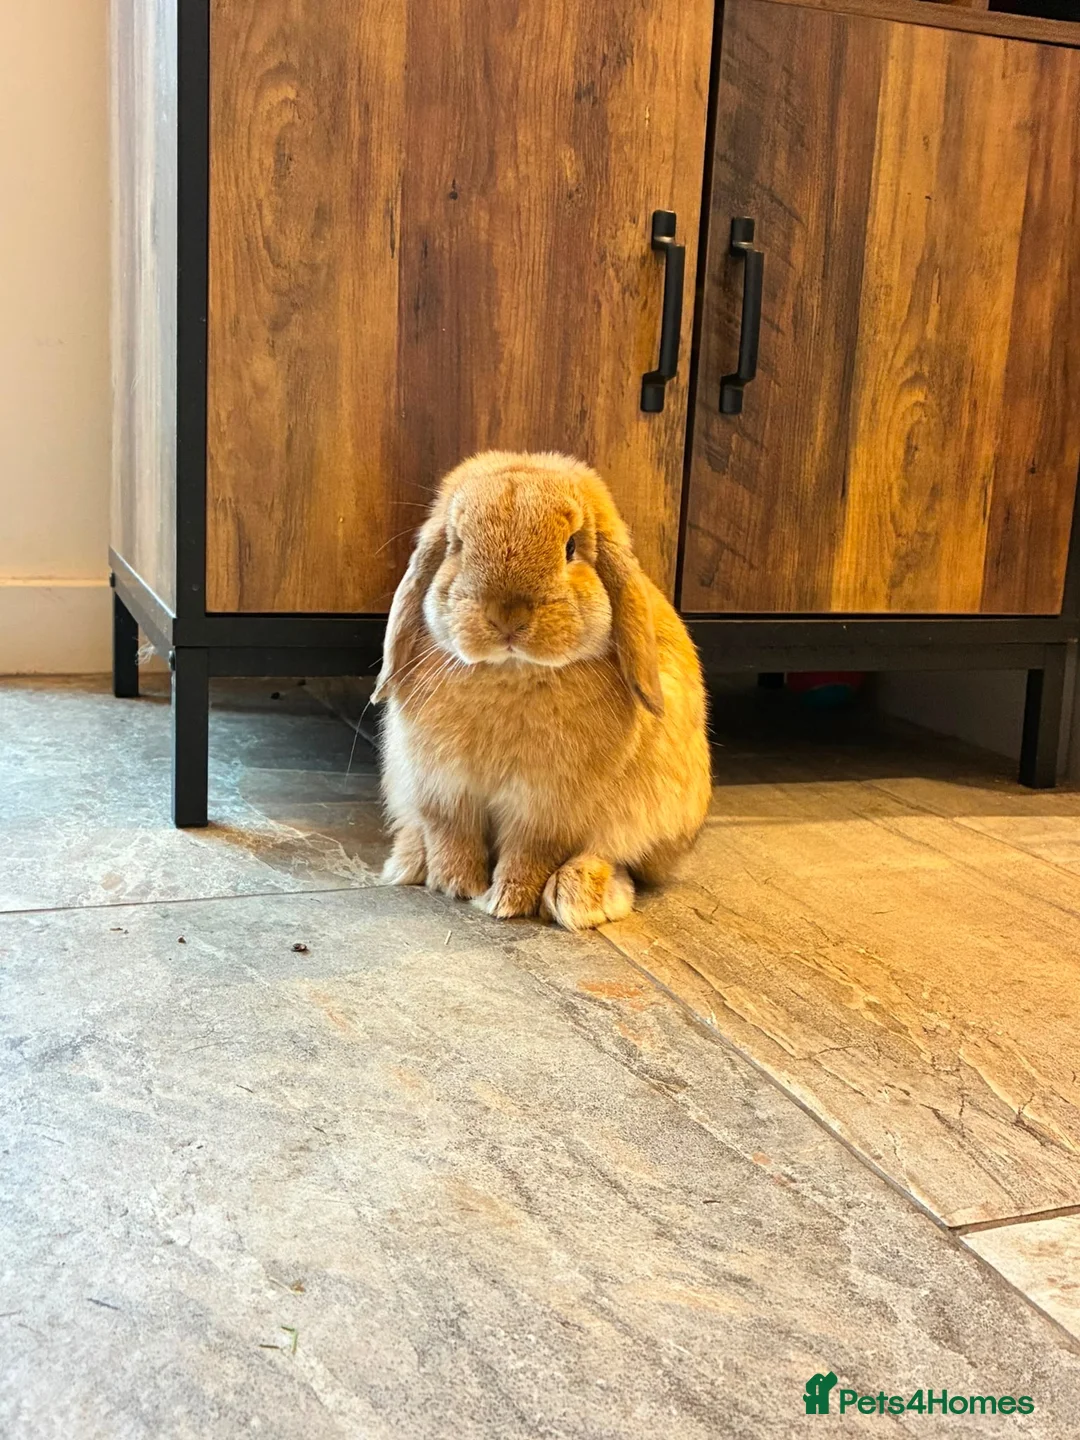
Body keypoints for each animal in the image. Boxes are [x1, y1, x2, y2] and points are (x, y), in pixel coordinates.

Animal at [372, 450, 711, 930]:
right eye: (456, 544)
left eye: (570, 548)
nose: (507, 616)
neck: (511, 671)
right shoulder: (444, 792)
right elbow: (451, 837)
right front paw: (457, 886)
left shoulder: (545, 812)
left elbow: (528, 856)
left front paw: (505, 903)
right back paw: (410, 857)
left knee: (621, 860)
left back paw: (580, 896)